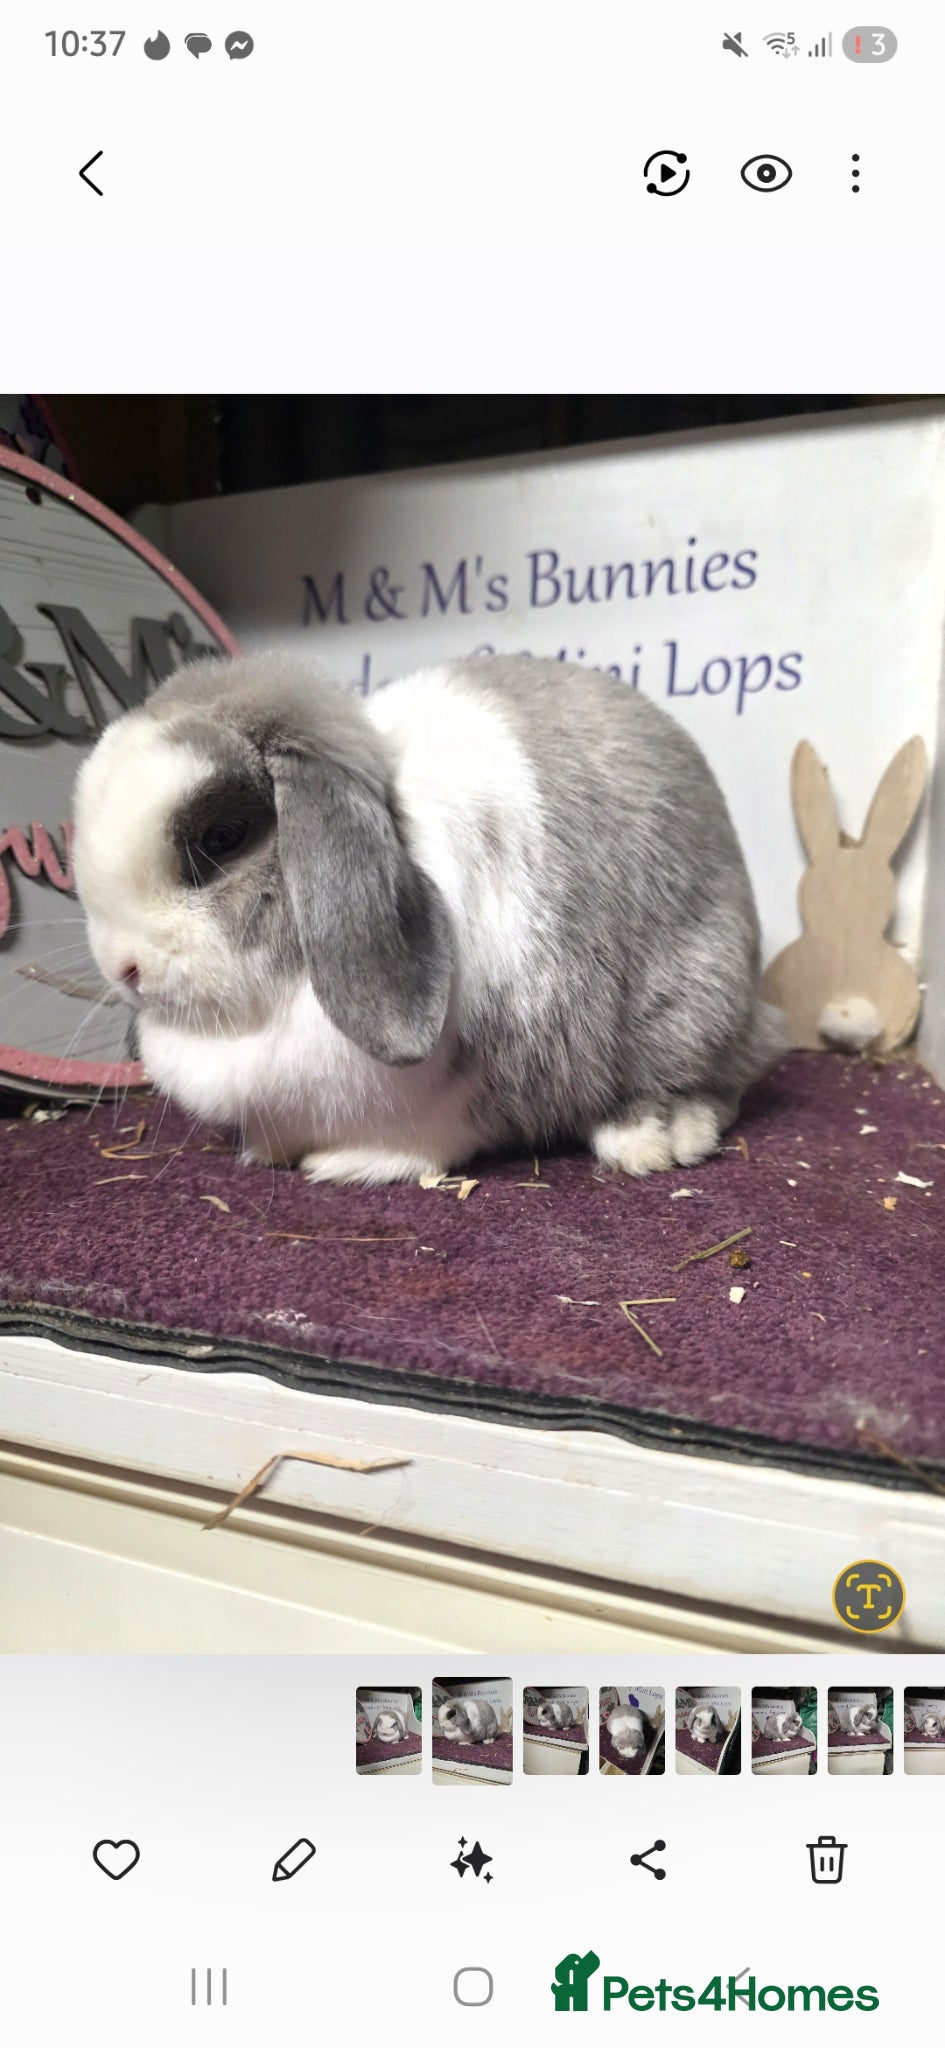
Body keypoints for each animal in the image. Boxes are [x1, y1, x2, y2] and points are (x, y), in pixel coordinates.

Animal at [70, 650, 780, 1187]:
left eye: (222, 838)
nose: (121, 968)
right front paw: (270, 1151)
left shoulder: (465, 1087)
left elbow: (428, 1140)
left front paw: (345, 1164)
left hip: (696, 994)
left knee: (716, 1077)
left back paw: (655, 1139)